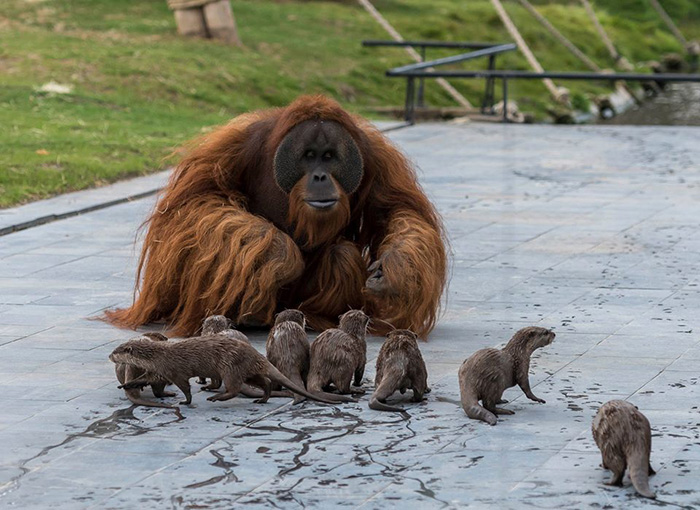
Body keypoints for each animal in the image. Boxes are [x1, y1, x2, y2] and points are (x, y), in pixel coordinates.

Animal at [112, 334, 336, 406]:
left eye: (117, 351)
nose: (109, 355)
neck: (158, 356)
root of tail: (254, 354)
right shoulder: (158, 371)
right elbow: (143, 378)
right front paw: (126, 384)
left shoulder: (174, 371)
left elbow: (185, 387)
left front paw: (186, 401)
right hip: (247, 371)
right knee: (264, 381)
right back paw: (262, 399)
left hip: (229, 367)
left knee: (234, 388)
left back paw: (216, 397)